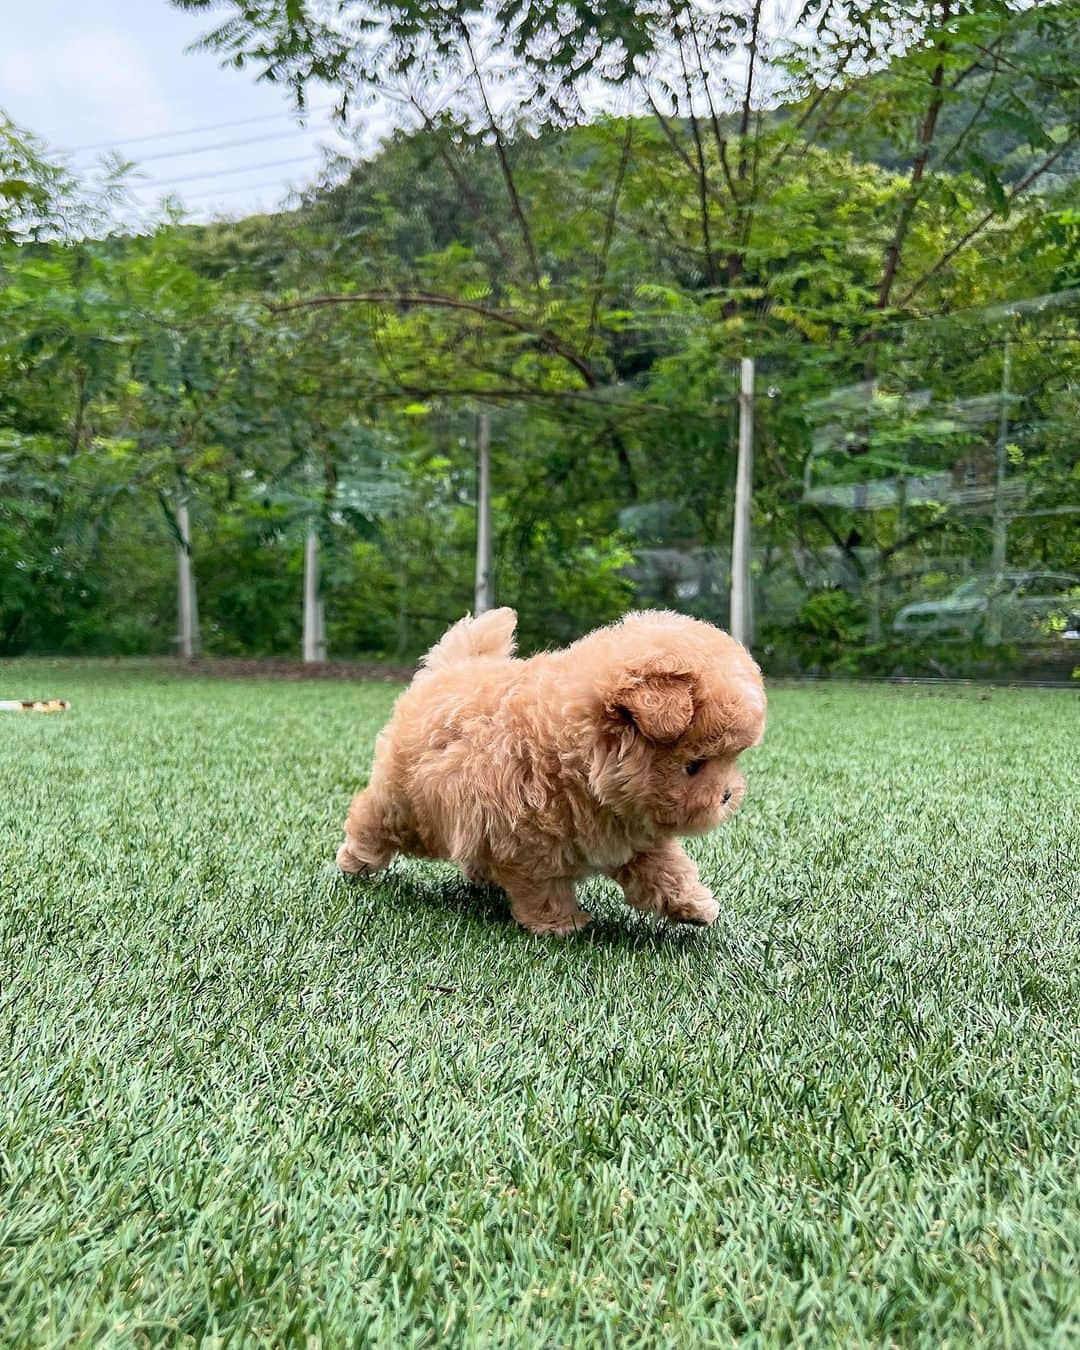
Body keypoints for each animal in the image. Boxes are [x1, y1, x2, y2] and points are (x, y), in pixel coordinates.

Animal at [337, 615, 766, 939]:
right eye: (694, 765)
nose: (727, 795)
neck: (576, 761)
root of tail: (449, 670)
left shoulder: (631, 836)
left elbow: (666, 869)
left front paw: (695, 906)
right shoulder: (526, 843)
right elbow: (542, 887)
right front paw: (562, 924)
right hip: (407, 806)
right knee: (370, 817)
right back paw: (356, 861)